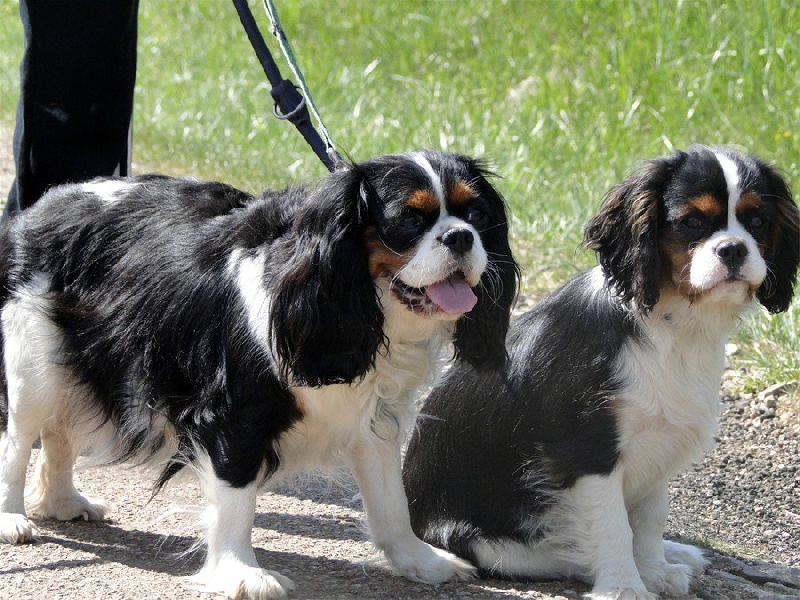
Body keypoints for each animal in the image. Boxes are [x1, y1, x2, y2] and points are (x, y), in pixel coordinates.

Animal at [0, 149, 520, 596]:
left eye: (476, 215)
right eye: (410, 220)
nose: (460, 237)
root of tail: (42, 206)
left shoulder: (376, 416)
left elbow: (391, 501)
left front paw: (420, 561)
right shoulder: (235, 413)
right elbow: (236, 500)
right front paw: (241, 573)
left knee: (59, 431)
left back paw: (63, 502)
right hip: (31, 362)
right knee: (19, 441)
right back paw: (12, 517)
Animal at [406, 146, 800, 600]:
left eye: (757, 221)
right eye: (692, 222)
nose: (734, 249)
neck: (673, 321)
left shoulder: (660, 440)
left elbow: (648, 517)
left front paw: (654, 570)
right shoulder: (587, 449)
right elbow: (613, 527)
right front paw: (625, 585)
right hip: (478, 540)